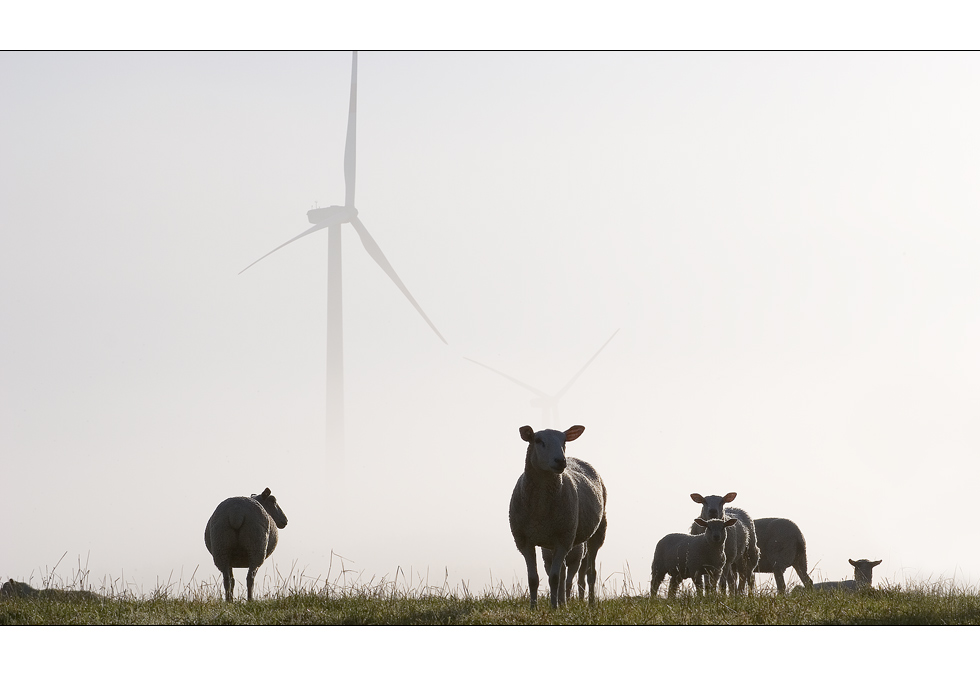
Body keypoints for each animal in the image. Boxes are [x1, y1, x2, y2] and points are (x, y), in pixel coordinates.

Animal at [512, 426, 604, 608]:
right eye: (538, 441)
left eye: (564, 441)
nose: (560, 461)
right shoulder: (524, 541)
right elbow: (533, 579)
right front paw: (534, 608)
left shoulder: (564, 539)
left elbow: (554, 579)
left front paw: (554, 608)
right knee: (563, 573)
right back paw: (562, 602)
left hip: (597, 531)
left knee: (590, 573)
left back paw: (589, 604)